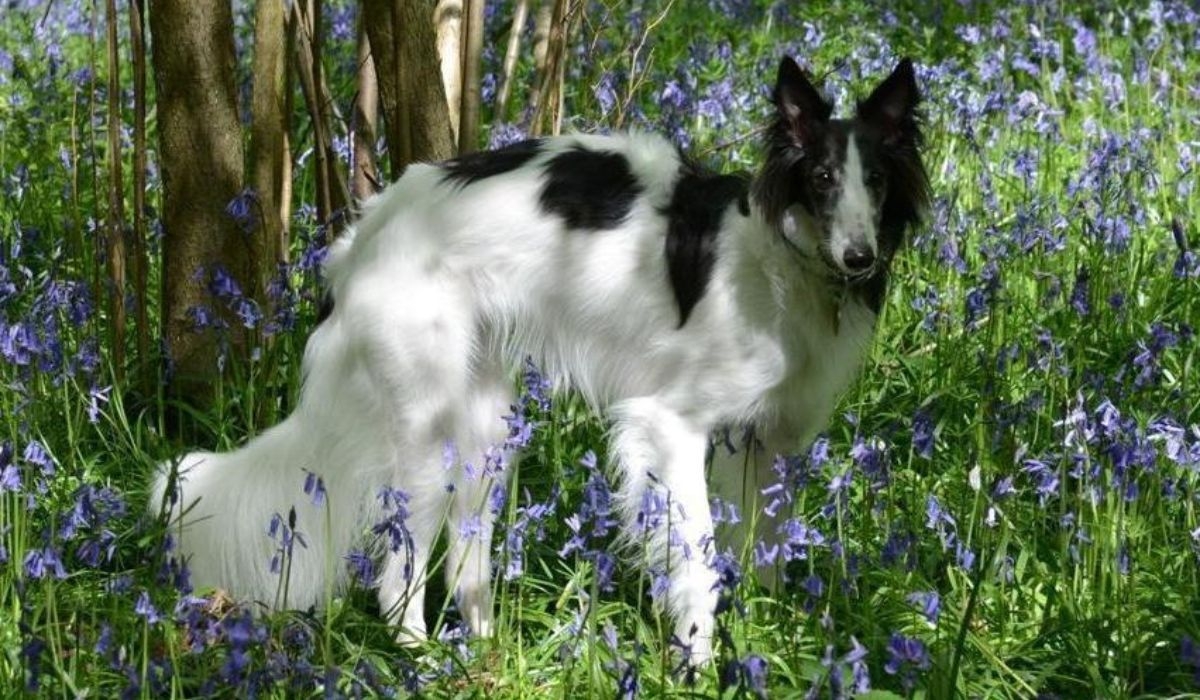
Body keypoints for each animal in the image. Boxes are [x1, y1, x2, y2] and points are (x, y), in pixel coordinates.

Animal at [154, 56, 931, 662]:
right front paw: (697, 660)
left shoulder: (771, 445)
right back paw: (421, 658)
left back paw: (486, 652)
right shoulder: (670, 424)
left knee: (465, 566)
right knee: (398, 570)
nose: (859, 259)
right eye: (822, 177)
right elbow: (698, 559)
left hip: (484, 434)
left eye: (877, 183)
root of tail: (361, 238)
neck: (779, 260)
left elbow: (760, 553)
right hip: (424, 438)